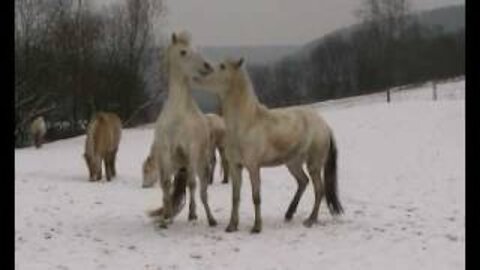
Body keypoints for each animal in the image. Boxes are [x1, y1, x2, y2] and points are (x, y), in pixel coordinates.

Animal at [151, 30, 217, 227]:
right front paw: (165, 219)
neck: (178, 115)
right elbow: (166, 185)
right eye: (183, 52)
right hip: (174, 165)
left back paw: (204, 217)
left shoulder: (192, 151)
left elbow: (193, 185)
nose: (207, 66)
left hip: (200, 164)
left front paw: (196, 215)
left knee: (199, 189)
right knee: (171, 188)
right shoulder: (166, 153)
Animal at [193, 58, 344, 233]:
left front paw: (257, 227)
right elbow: (235, 197)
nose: (199, 74)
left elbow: (256, 196)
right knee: (303, 182)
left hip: (314, 165)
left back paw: (310, 220)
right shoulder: (236, 167)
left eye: (222, 67)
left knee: (319, 191)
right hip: (293, 163)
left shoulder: (253, 167)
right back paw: (289, 213)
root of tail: (324, 125)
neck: (246, 123)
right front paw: (232, 226)